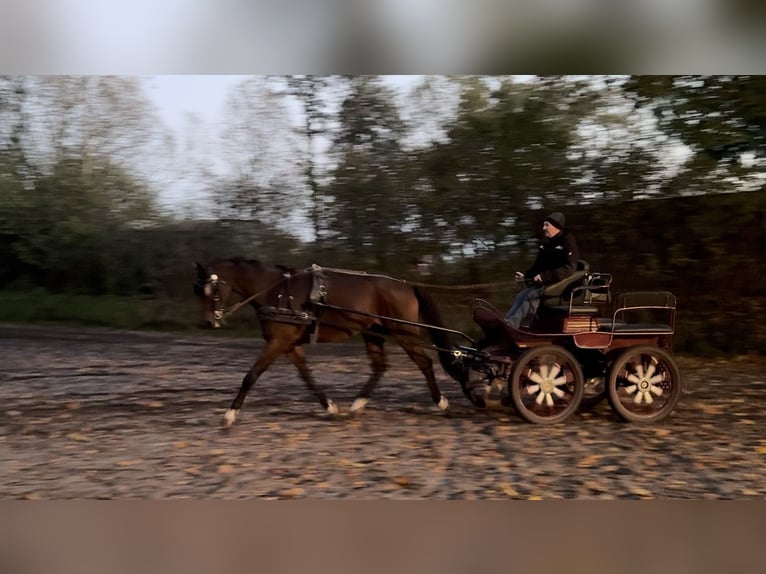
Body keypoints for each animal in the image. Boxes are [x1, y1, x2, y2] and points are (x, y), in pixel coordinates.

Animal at [194, 258, 468, 428]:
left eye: (212, 290)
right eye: (198, 291)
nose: (209, 322)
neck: (277, 293)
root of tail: (407, 284)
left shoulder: (278, 342)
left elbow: (251, 376)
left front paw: (230, 415)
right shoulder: (289, 345)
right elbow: (307, 377)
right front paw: (330, 408)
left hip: (403, 332)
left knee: (424, 363)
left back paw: (442, 403)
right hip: (374, 332)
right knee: (379, 367)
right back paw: (356, 406)